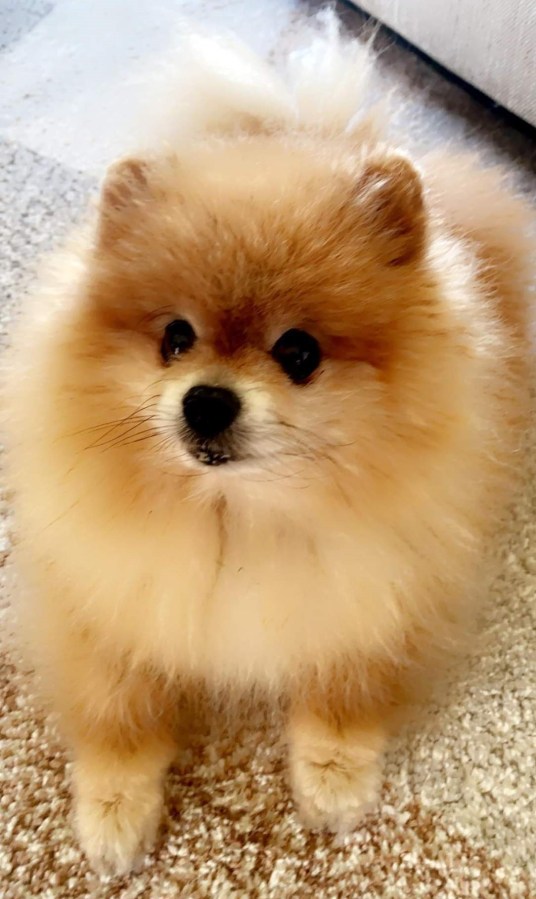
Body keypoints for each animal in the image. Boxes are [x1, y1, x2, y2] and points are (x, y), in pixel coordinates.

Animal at [4, 11, 533, 876]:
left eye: (299, 352)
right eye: (175, 338)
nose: (207, 400)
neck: (237, 515)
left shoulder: (380, 588)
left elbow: (347, 686)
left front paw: (334, 772)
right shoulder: (105, 593)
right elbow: (117, 709)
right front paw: (113, 811)